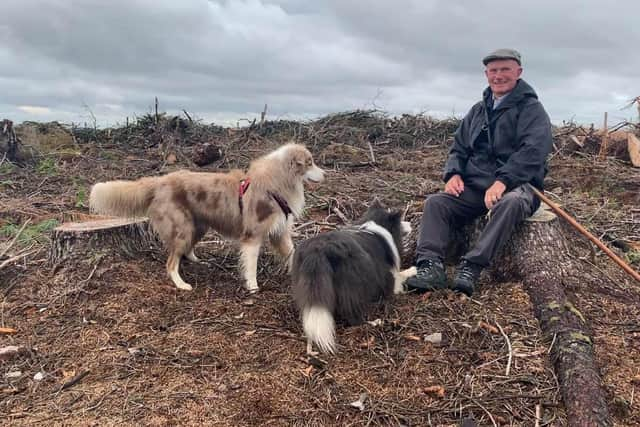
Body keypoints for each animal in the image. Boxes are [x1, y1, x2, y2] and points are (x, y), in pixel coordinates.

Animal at [90, 144, 324, 290]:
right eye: (310, 162)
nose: (325, 174)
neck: (276, 183)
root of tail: (160, 181)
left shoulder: (279, 233)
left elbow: (292, 253)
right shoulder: (253, 236)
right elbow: (251, 266)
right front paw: (253, 287)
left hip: (198, 226)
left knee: (184, 251)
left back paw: (197, 260)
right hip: (182, 228)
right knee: (171, 262)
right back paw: (181, 284)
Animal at [290, 201, 416, 354]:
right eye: (400, 221)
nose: (410, 223)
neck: (377, 226)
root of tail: (318, 251)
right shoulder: (390, 277)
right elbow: (400, 276)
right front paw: (413, 270)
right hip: (354, 284)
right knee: (353, 315)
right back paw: (373, 322)